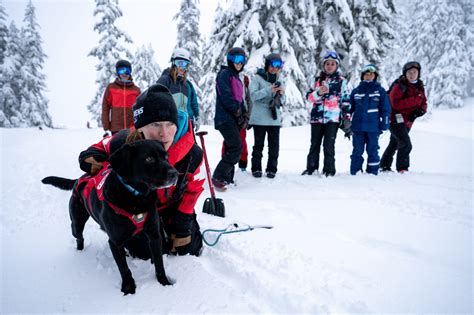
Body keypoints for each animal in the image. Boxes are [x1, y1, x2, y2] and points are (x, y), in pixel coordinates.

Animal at [40, 141, 177, 296]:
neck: (136, 198)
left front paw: (164, 283)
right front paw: (129, 288)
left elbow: (159, 263)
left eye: (166, 157)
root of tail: (80, 178)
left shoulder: (154, 235)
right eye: (149, 159)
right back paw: (80, 253)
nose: (175, 174)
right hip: (76, 221)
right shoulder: (115, 242)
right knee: (79, 237)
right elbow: (124, 268)